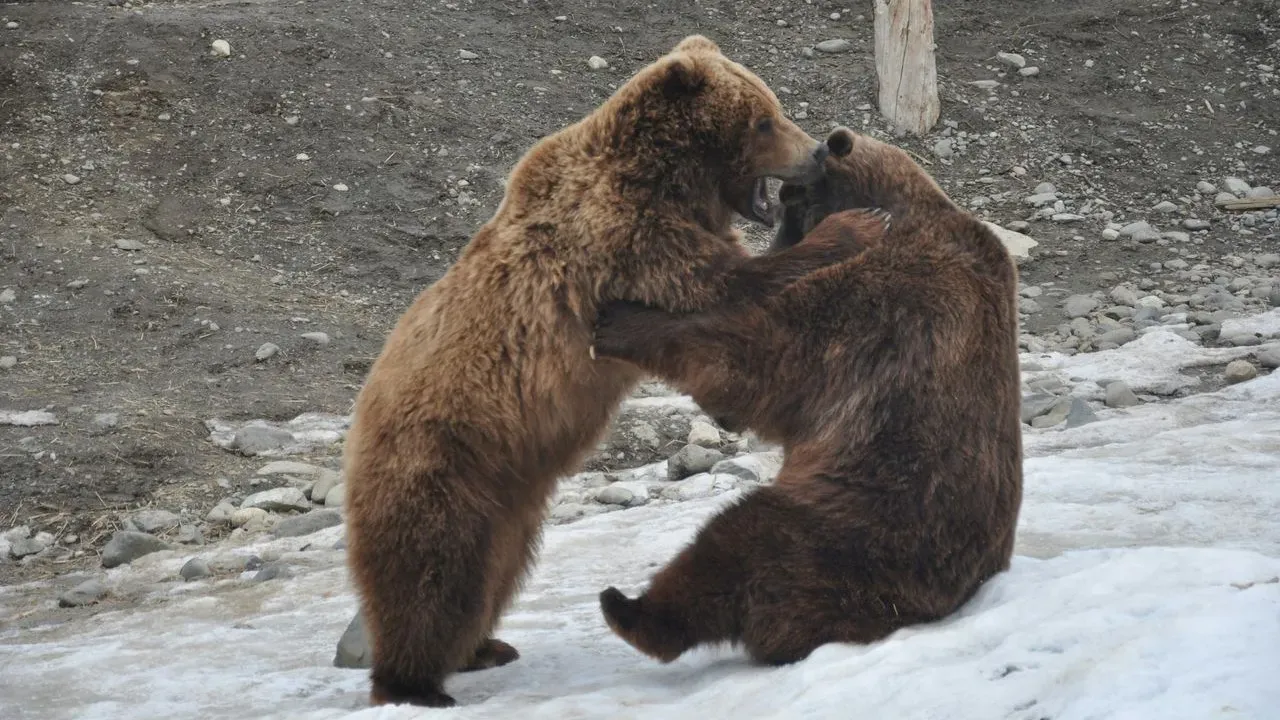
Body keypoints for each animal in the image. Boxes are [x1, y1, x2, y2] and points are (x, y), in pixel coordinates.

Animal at [342, 35, 834, 708]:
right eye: (764, 119)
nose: (816, 152)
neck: (672, 181)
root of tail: (357, 424)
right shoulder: (623, 234)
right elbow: (718, 280)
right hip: (440, 459)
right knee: (428, 573)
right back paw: (415, 683)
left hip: (510, 504)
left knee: (491, 573)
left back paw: (482, 648)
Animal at [590, 126, 1024, 667]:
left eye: (790, 205)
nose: (771, 244)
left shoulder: (883, 300)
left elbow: (765, 354)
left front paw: (622, 320)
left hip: (854, 533)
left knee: (737, 542)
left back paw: (629, 609)